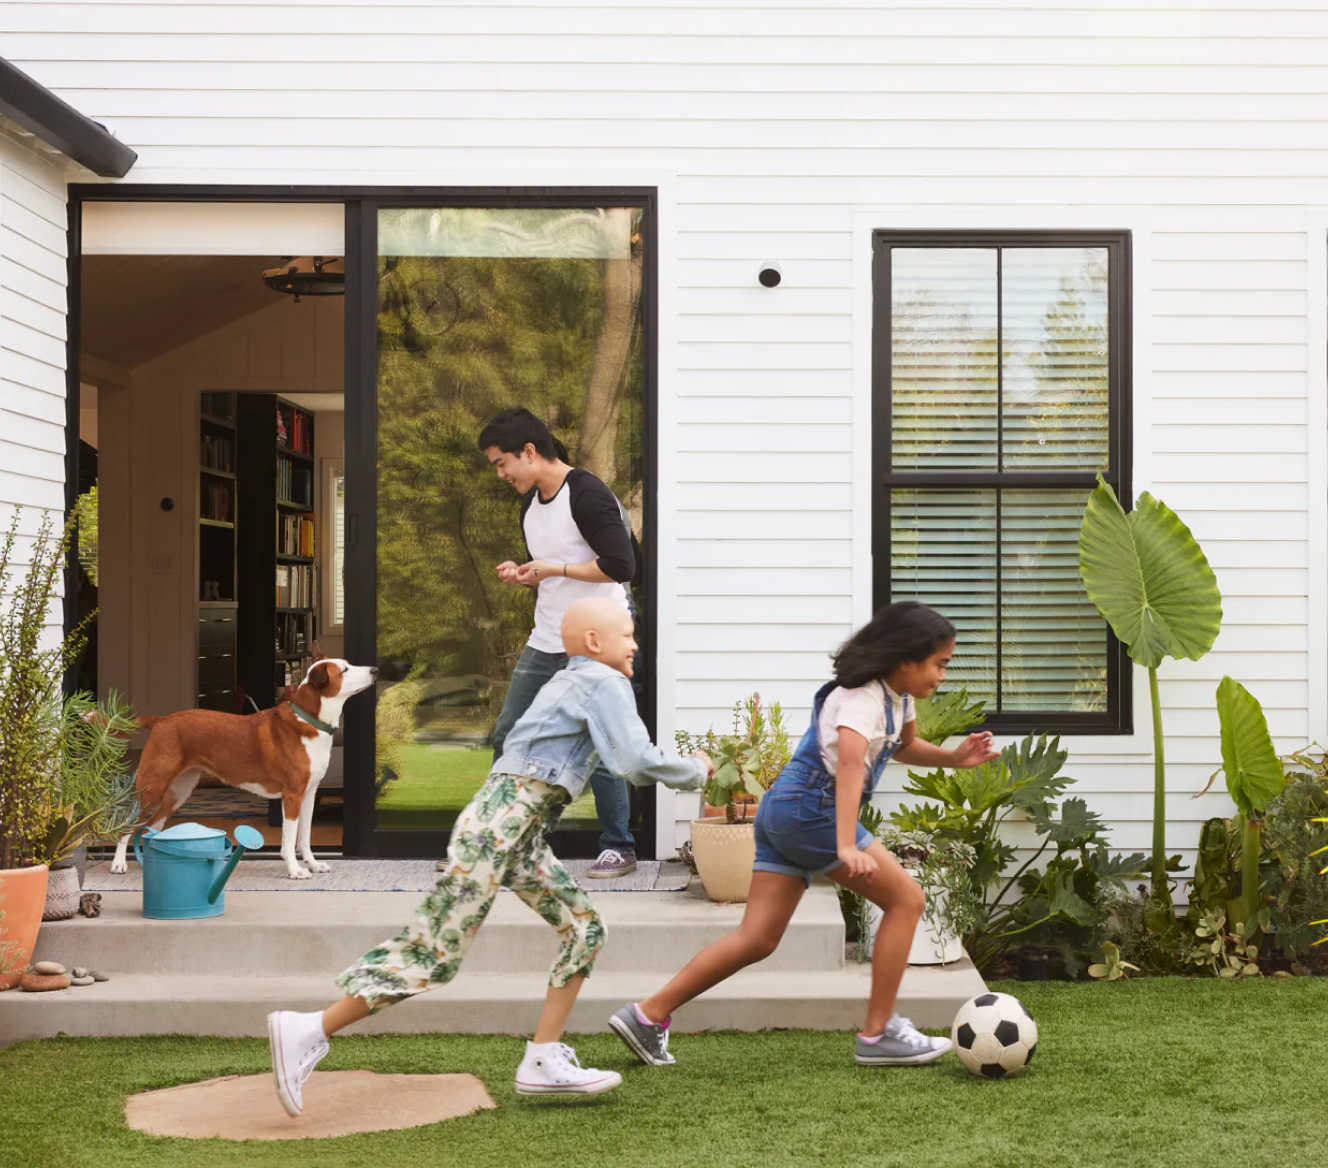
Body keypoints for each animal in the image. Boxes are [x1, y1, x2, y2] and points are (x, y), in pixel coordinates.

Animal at [111, 658, 377, 876]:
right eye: (344, 670)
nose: (375, 670)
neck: (309, 720)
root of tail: (161, 720)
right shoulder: (292, 795)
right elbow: (289, 838)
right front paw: (294, 870)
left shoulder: (309, 794)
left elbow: (305, 836)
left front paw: (313, 864)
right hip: (151, 787)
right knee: (127, 825)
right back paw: (119, 863)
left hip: (178, 792)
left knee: (153, 826)